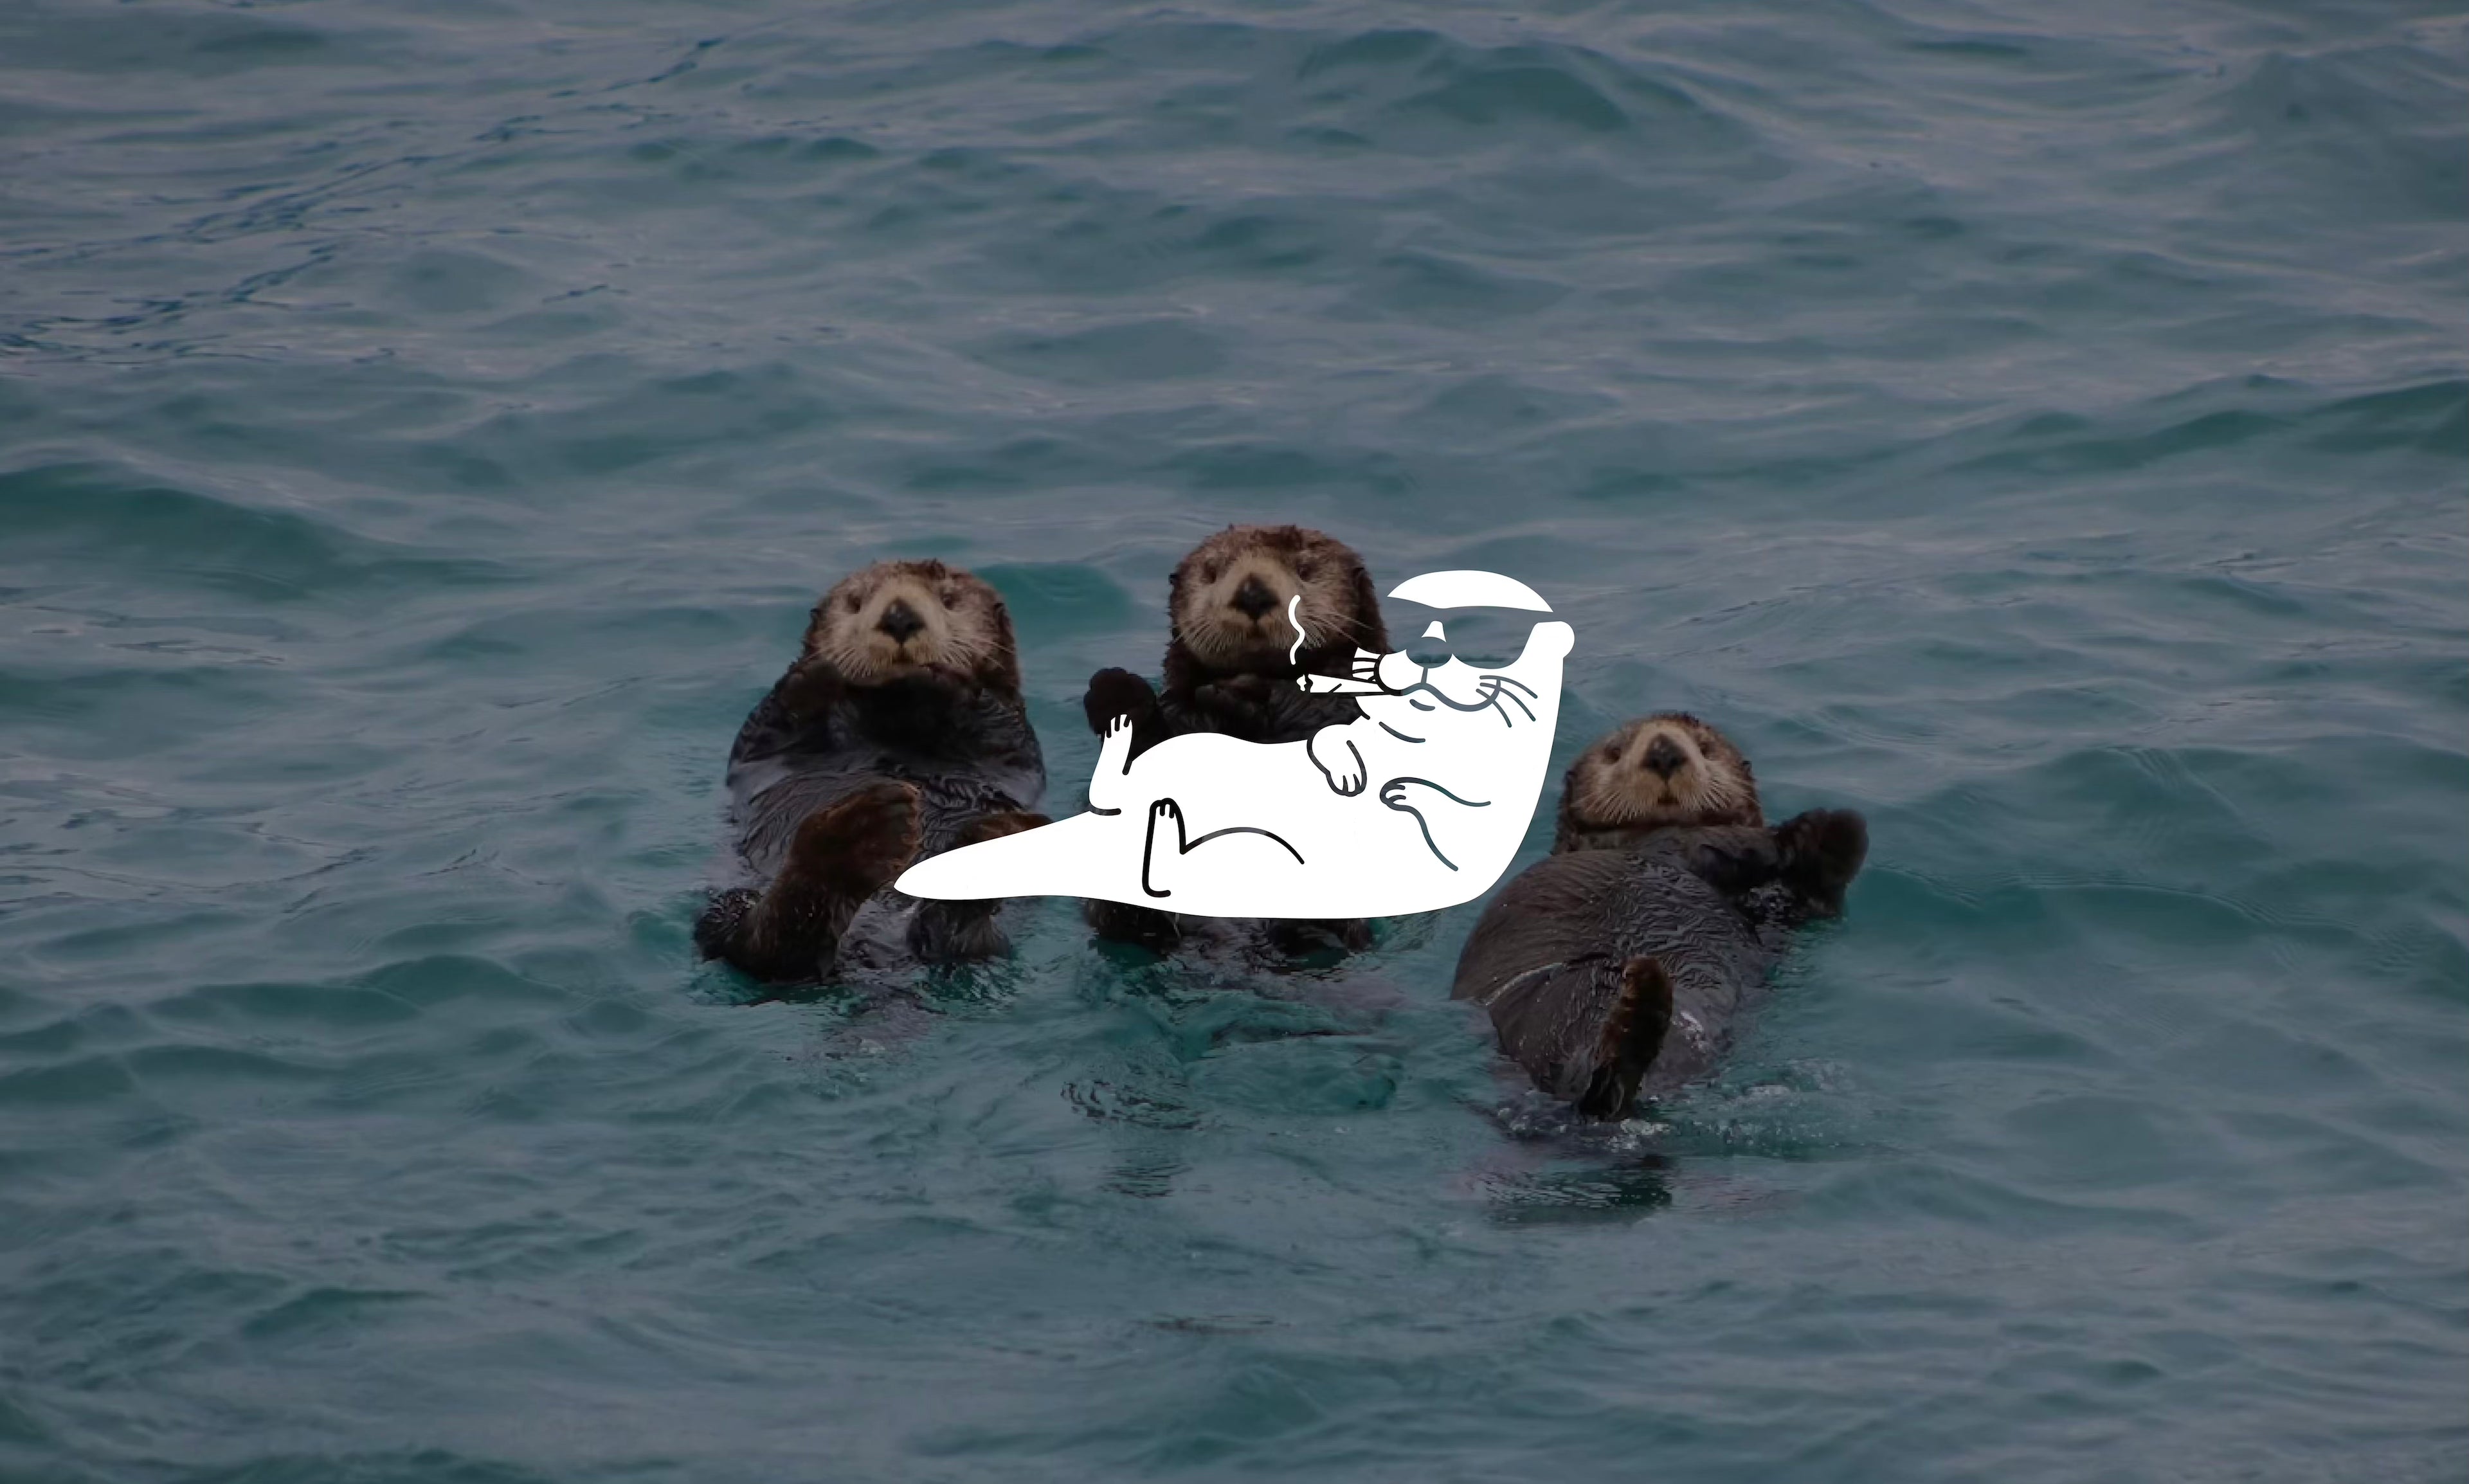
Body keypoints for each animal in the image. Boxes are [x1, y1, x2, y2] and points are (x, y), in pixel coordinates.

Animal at [693, 559, 1047, 984]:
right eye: (856, 602)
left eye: (949, 600)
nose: (899, 617)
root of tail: (876, 948)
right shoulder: (761, 745)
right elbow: (770, 727)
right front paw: (816, 674)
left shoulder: (1014, 740)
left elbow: (996, 724)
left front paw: (939, 678)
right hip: (728, 905)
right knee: (759, 945)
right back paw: (860, 835)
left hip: (988, 945)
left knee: (952, 940)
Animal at [1450, 713, 1867, 1119]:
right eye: (1615, 752)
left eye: (1705, 748)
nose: (1664, 752)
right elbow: (1714, 843)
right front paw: (1804, 832)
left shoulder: (1776, 913)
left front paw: (1823, 835)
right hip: (1550, 1008)